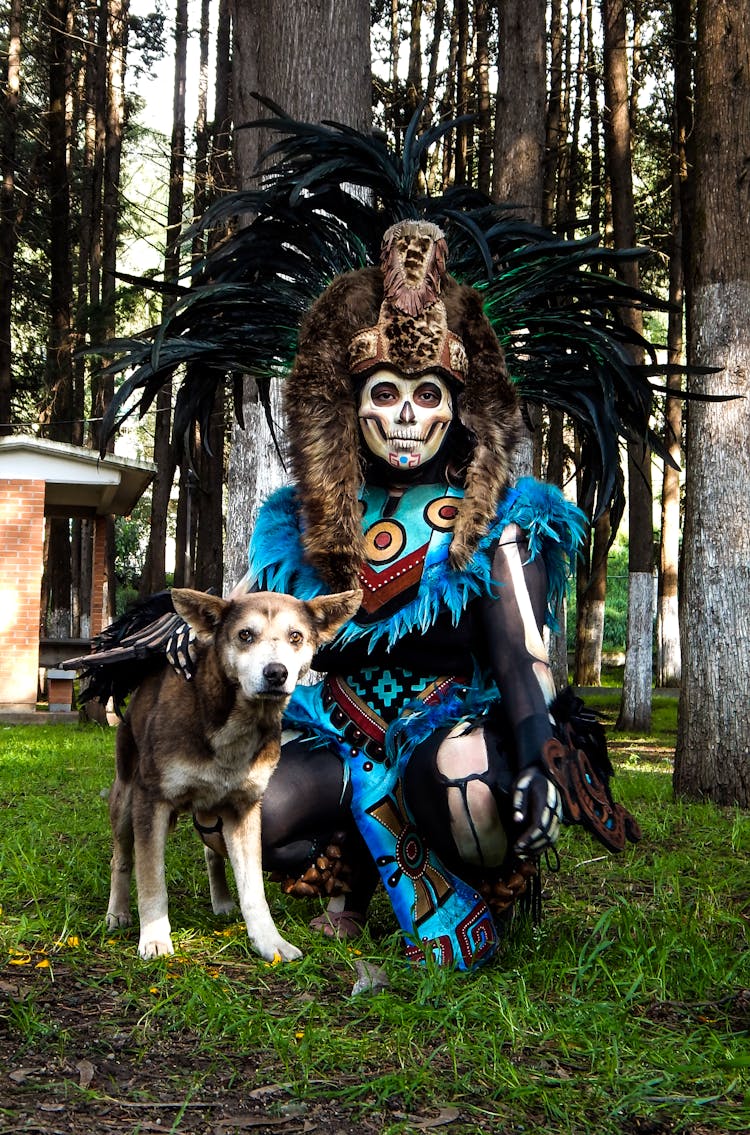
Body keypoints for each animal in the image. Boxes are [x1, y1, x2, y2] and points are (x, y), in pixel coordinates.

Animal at [106, 590, 363, 962]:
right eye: (245, 635)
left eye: (296, 636)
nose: (276, 673)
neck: (235, 722)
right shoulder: (152, 800)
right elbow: (151, 878)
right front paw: (154, 938)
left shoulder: (244, 808)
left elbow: (254, 889)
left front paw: (269, 941)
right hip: (126, 797)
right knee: (122, 857)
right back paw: (118, 912)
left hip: (210, 808)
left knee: (211, 852)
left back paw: (222, 901)